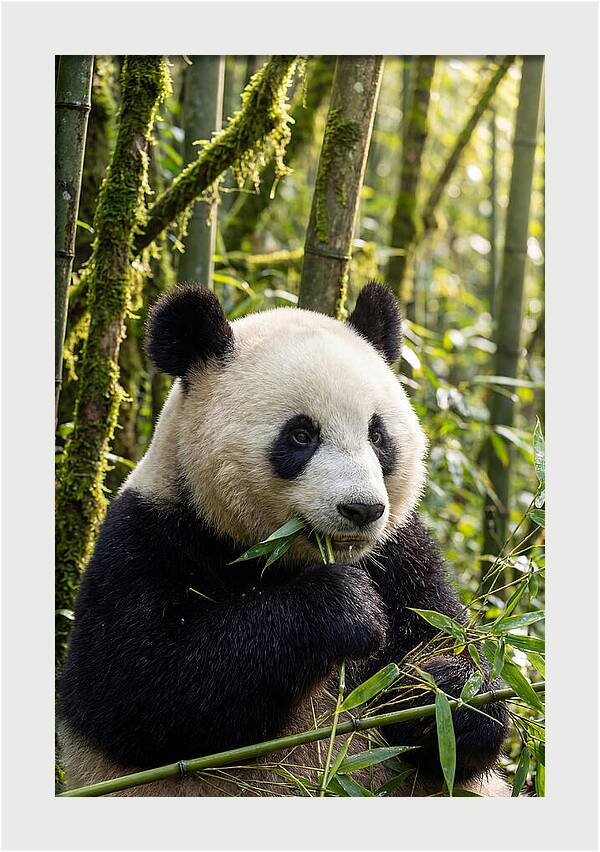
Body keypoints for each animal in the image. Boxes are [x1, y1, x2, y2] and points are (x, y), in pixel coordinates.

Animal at [59, 281, 509, 796]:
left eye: (377, 436)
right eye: (300, 435)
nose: (361, 510)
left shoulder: (402, 554)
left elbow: (455, 667)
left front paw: (443, 692)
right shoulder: (147, 539)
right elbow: (144, 689)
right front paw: (346, 608)